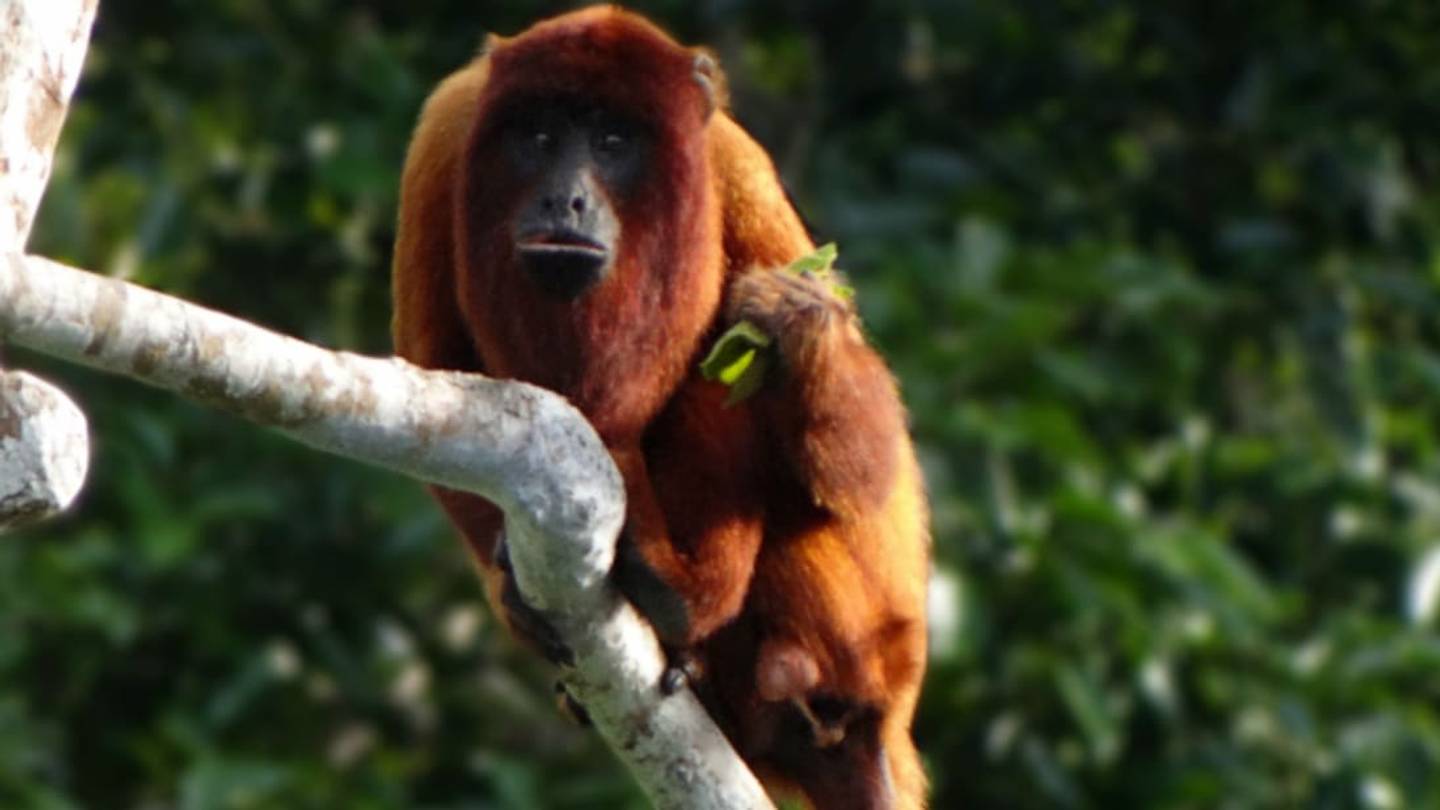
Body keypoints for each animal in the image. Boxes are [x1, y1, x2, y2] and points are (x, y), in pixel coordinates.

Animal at [391, 8, 929, 809]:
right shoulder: (445, 131)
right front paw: (514, 596)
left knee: (723, 392)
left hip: (862, 635)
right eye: (539, 137)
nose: (567, 199)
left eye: (614, 143)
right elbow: (434, 366)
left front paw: (800, 319)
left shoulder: (732, 164)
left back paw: (686, 597)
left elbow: (866, 474)